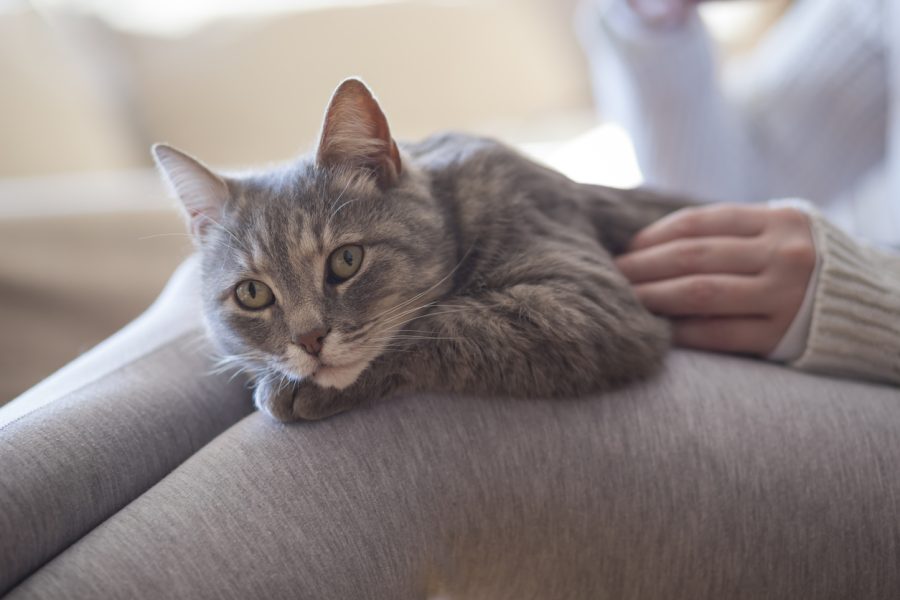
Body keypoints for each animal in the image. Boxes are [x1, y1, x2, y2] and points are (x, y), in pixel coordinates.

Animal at [153, 77, 688, 422]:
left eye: (346, 260)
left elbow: (443, 323)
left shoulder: (584, 301)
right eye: (252, 294)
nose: (309, 340)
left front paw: (290, 391)